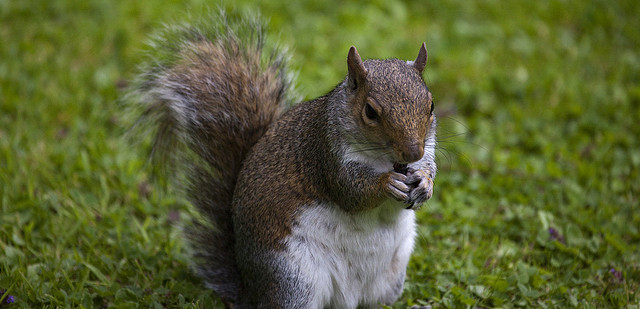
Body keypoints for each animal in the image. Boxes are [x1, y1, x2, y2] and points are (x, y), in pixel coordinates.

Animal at [133, 12, 438, 308]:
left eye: (431, 104)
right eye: (370, 111)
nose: (413, 153)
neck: (383, 158)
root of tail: (252, 291)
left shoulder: (428, 147)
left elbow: (430, 168)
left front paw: (424, 183)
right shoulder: (324, 153)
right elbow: (350, 191)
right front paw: (387, 183)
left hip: (390, 279)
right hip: (293, 278)